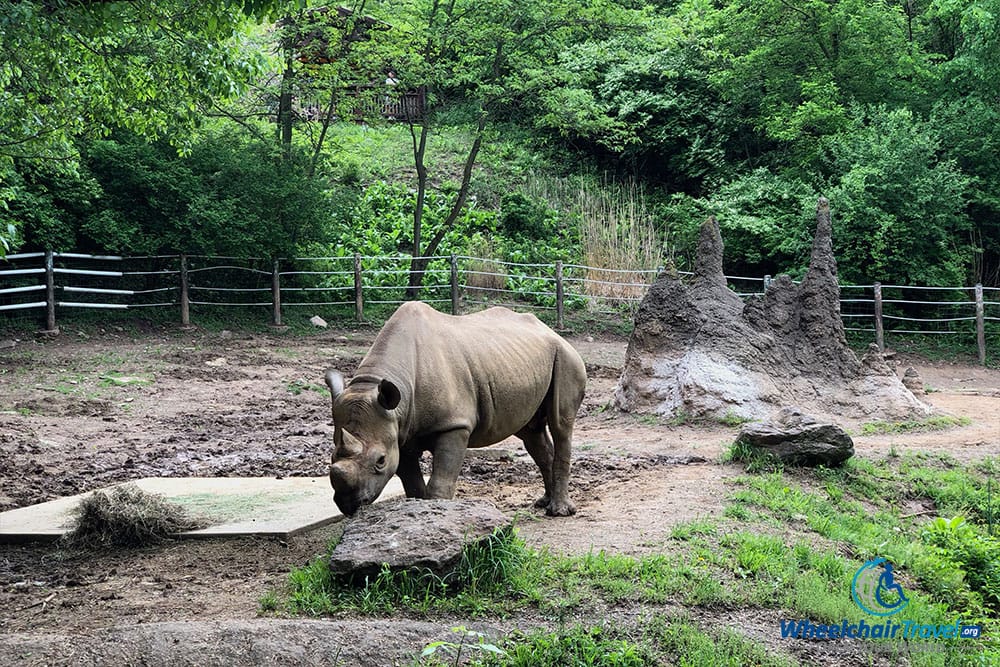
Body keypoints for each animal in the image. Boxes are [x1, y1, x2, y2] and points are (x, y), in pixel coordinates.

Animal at [324, 301, 587, 517]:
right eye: (332, 457)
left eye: (380, 461)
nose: (348, 504)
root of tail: (551, 331)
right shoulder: (399, 430)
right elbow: (412, 484)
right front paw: (418, 514)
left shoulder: (454, 425)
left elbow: (441, 480)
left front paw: (437, 513)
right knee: (531, 432)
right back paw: (544, 502)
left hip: (567, 358)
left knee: (561, 424)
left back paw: (559, 512)